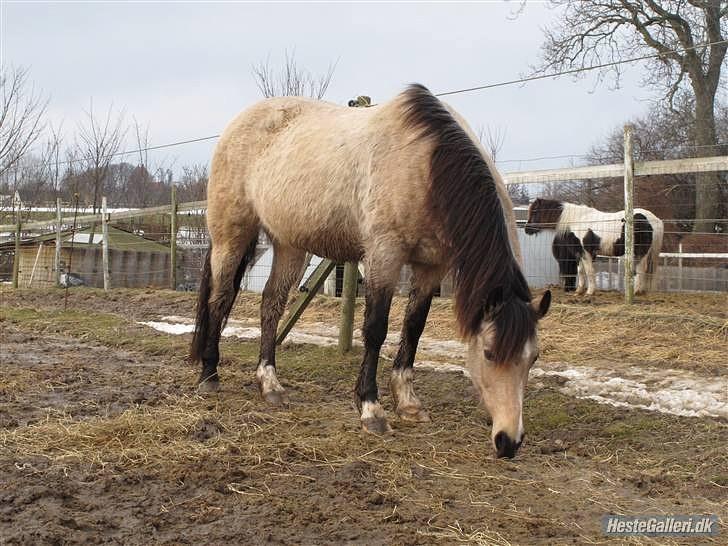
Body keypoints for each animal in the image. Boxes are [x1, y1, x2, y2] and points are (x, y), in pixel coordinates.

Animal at [191, 84, 551, 459]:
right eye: (489, 353)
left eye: (533, 358)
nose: (509, 441)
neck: (426, 164)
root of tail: (237, 124)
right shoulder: (384, 256)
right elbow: (376, 330)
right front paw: (371, 409)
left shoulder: (431, 267)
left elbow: (414, 328)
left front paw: (408, 403)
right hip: (231, 235)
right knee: (219, 300)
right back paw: (209, 375)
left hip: (289, 245)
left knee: (270, 306)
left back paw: (270, 385)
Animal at [524, 198, 663, 295]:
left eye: (535, 212)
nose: (527, 229)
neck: (576, 220)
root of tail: (655, 220)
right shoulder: (579, 253)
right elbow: (581, 271)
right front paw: (578, 291)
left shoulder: (586, 252)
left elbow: (589, 271)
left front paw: (590, 292)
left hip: (641, 251)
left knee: (641, 269)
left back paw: (636, 291)